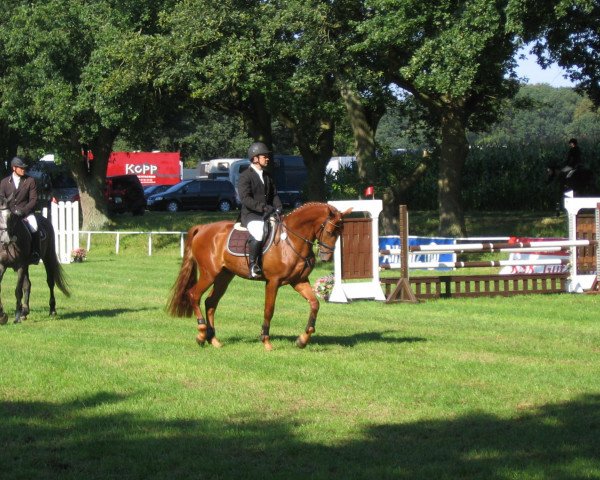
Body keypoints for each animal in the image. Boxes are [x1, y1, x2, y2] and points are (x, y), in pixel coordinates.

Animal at [0, 196, 70, 326]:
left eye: (10, 216)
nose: (5, 240)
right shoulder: (2, 265)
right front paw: (2, 315)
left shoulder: (21, 265)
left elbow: (18, 290)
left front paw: (16, 317)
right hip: (27, 265)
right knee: (28, 285)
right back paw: (25, 312)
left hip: (47, 258)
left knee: (50, 282)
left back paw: (52, 310)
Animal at [166, 201, 352, 350]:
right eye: (330, 231)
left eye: (340, 232)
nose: (326, 258)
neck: (291, 239)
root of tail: (203, 228)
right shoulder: (273, 282)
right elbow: (269, 309)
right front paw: (266, 341)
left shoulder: (298, 281)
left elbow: (314, 304)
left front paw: (302, 340)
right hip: (209, 274)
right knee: (194, 295)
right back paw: (201, 334)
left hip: (224, 276)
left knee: (210, 302)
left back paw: (213, 340)